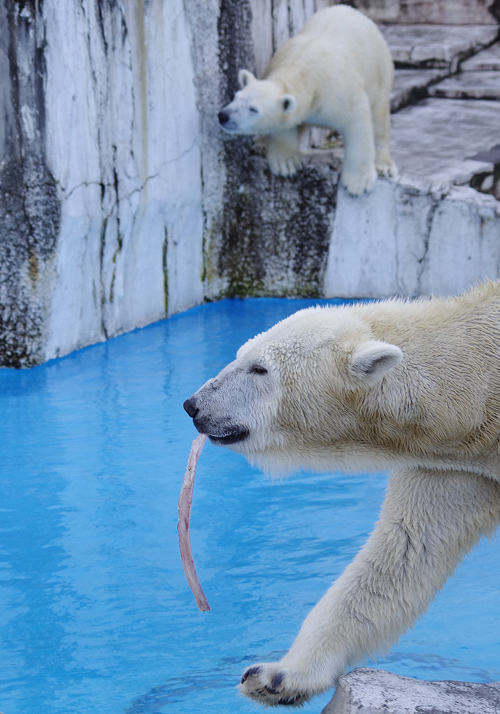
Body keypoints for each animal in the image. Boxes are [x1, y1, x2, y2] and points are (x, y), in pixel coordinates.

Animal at [184, 280, 500, 708]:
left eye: (260, 368)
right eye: (240, 355)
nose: (193, 405)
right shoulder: (454, 467)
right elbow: (404, 551)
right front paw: (276, 675)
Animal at [217, 5, 396, 196]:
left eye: (253, 109)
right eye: (235, 97)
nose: (224, 116)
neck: (304, 71)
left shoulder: (341, 92)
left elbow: (357, 122)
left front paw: (358, 183)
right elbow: (285, 124)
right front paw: (286, 163)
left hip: (379, 72)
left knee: (379, 118)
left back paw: (384, 165)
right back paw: (261, 145)